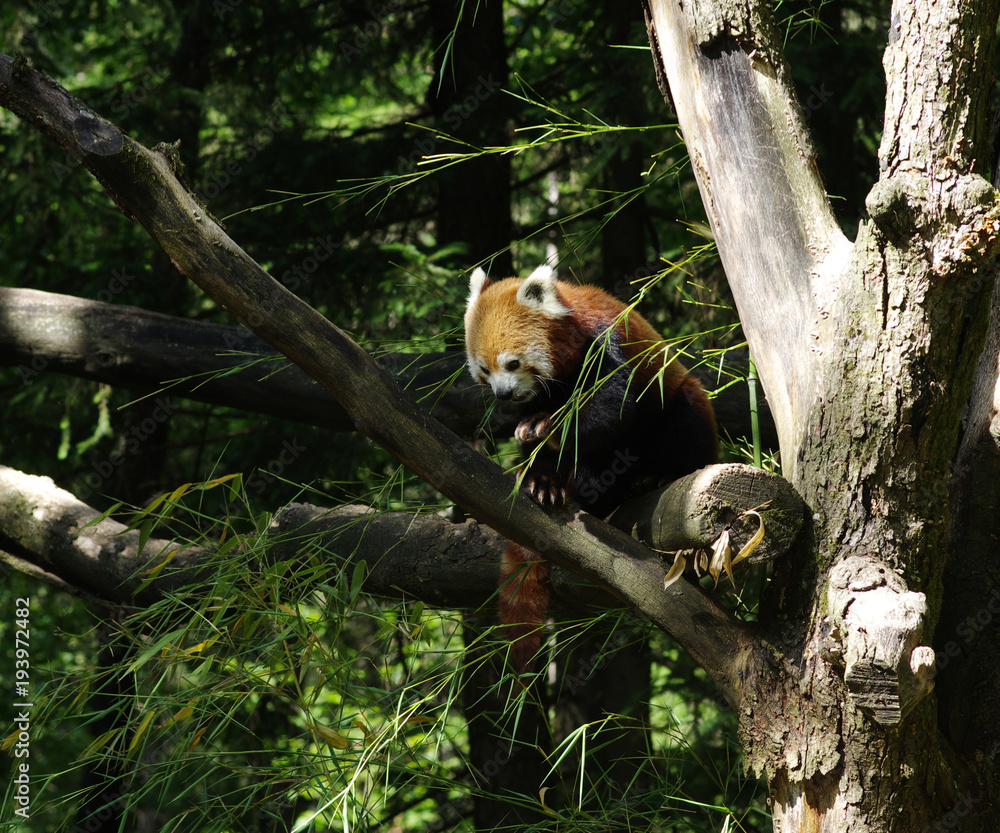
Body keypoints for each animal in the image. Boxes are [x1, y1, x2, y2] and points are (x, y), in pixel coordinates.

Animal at [464, 266, 716, 676]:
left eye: (513, 363)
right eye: (485, 370)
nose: (503, 394)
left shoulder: (607, 345)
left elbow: (612, 409)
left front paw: (548, 426)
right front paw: (539, 470)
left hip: (682, 403)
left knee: (683, 422)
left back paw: (646, 479)